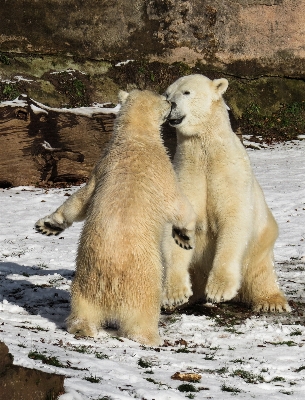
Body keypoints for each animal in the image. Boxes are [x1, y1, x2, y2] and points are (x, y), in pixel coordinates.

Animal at [35, 89, 195, 346]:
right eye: (165, 99)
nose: (171, 103)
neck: (134, 139)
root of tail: (110, 286)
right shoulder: (161, 169)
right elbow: (178, 203)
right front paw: (184, 236)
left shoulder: (101, 167)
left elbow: (80, 200)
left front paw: (49, 225)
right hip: (143, 283)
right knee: (142, 315)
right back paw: (152, 337)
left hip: (84, 285)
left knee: (82, 309)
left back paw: (81, 327)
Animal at [160, 74, 288, 312]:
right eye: (167, 93)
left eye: (186, 92)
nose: (170, 105)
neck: (206, 151)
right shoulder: (187, 174)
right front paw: (175, 295)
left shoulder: (229, 174)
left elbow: (233, 219)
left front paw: (219, 290)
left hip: (260, 248)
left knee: (261, 273)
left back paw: (272, 302)